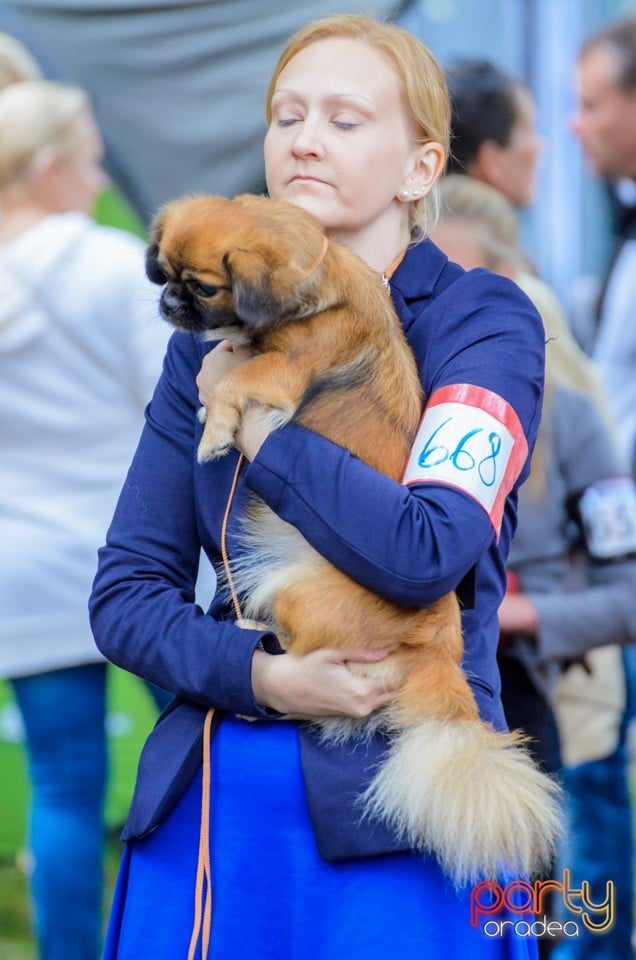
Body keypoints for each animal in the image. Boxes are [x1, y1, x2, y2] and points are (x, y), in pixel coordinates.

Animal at [147, 193, 560, 884]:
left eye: (202, 287)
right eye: (168, 273)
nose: (168, 301)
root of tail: (436, 650)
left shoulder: (279, 370)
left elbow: (232, 381)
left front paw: (215, 430)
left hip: (296, 593)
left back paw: (249, 635)